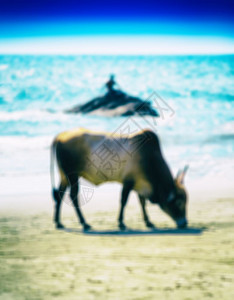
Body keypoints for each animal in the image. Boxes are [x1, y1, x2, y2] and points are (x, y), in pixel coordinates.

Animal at [49, 127, 188, 231]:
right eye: (179, 202)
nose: (185, 223)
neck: (149, 158)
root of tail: (60, 136)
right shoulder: (128, 182)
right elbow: (123, 201)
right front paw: (121, 223)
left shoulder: (139, 183)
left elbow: (142, 202)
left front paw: (148, 222)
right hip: (72, 176)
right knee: (73, 196)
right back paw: (84, 223)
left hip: (64, 176)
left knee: (60, 195)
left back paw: (58, 222)